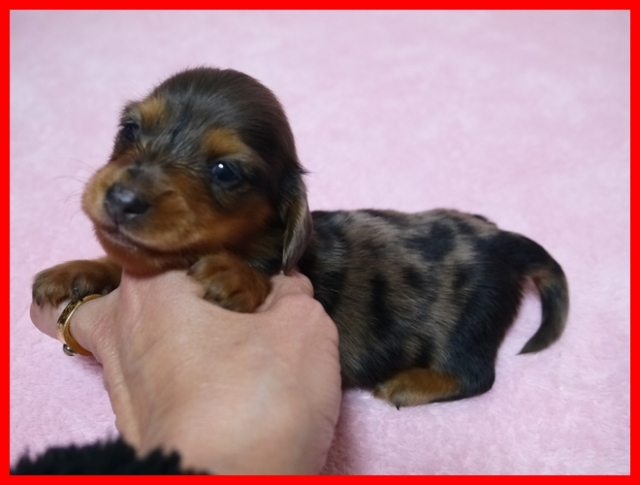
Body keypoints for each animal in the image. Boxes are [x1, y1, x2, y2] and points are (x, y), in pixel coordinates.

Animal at [33, 67, 569, 408]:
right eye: (129, 128)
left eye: (225, 171)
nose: (122, 200)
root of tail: (505, 239)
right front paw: (75, 271)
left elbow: (259, 275)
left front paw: (233, 275)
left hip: (466, 323)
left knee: (477, 374)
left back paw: (408, 384)